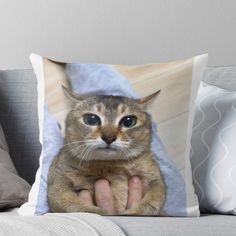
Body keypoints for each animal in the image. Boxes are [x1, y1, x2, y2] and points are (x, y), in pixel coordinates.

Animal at [47, 86, 166, 216]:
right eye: (91, 119)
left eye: (128, 121)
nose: (109, 137)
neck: (111, 164)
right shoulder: (57, 183)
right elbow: (76, 207)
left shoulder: (156, 179)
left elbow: (153, 202)